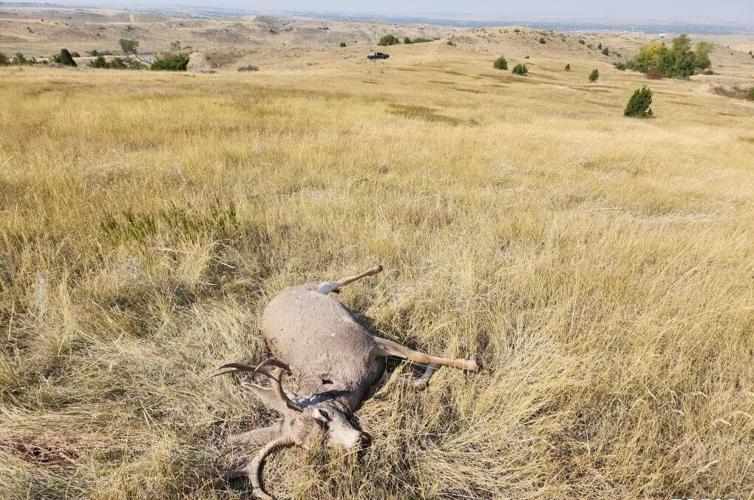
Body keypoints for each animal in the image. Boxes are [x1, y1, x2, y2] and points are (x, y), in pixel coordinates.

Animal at [213, 265, 479, 499]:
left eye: (323, 415)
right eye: (317, 446)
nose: (360, 443)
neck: (334, 382)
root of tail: (274, 298)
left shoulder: (368, 341)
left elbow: (419, 355)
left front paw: (471, 363)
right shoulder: (375, 370)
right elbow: (403, 379)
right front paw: (426, 376)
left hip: (315, 287)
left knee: (335, 280)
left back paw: (376, 268)